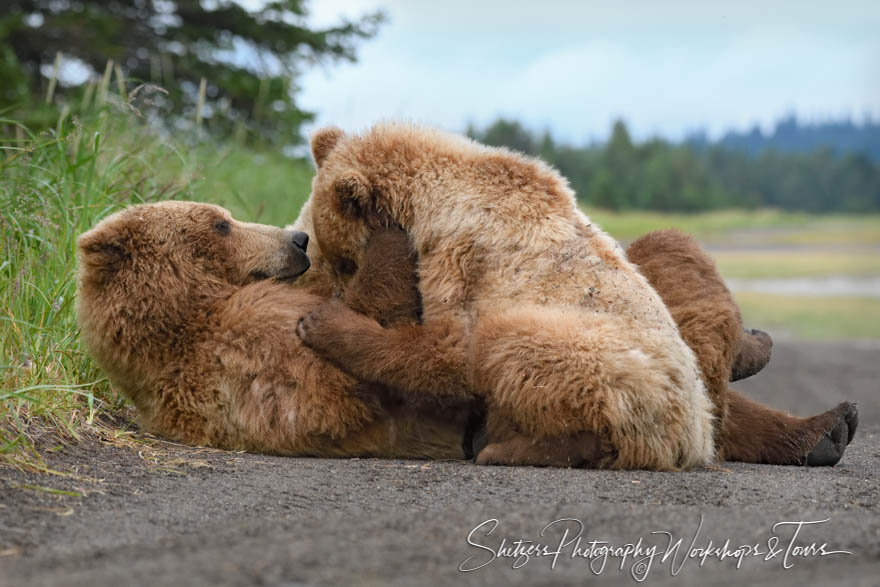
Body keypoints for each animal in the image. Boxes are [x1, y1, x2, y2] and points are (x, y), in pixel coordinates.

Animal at [77, 201, 468, 460]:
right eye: (221, 224)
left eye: (227, 216)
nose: (298, 239)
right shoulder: (252, 348)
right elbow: (359, 366)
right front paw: (385, 231)